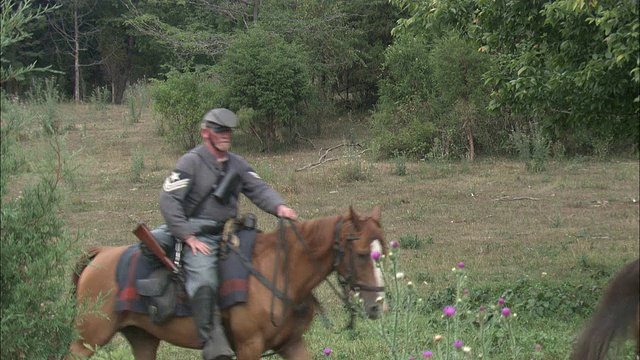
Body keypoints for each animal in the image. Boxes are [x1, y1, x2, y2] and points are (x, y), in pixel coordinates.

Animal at [68, 205, 388, 360]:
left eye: (382, 251)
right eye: (362, 254)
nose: (378, 306)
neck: (279, 273)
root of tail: (101, 254)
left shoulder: (292, 344)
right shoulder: (249, 347)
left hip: (143, 338)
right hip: (86, 341)